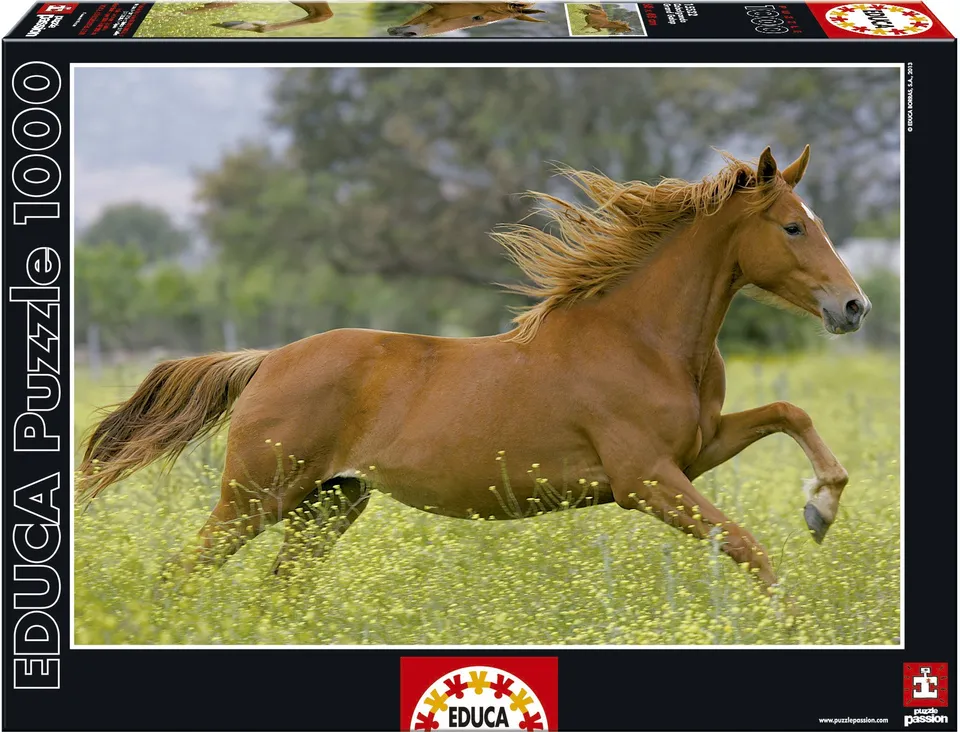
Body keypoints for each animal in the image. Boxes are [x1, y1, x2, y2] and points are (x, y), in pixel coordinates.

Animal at [78, 145, 869, 594]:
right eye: (793, 226)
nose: (853, 305)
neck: (640, 338)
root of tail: (267, 360)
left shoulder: (696, 452)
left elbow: (788, 414)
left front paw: (821, 508)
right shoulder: (646, 479)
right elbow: (749, 547)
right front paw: (792, 601)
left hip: (328, 503)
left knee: (278, 594)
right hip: (255, 500)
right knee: (182, 576)